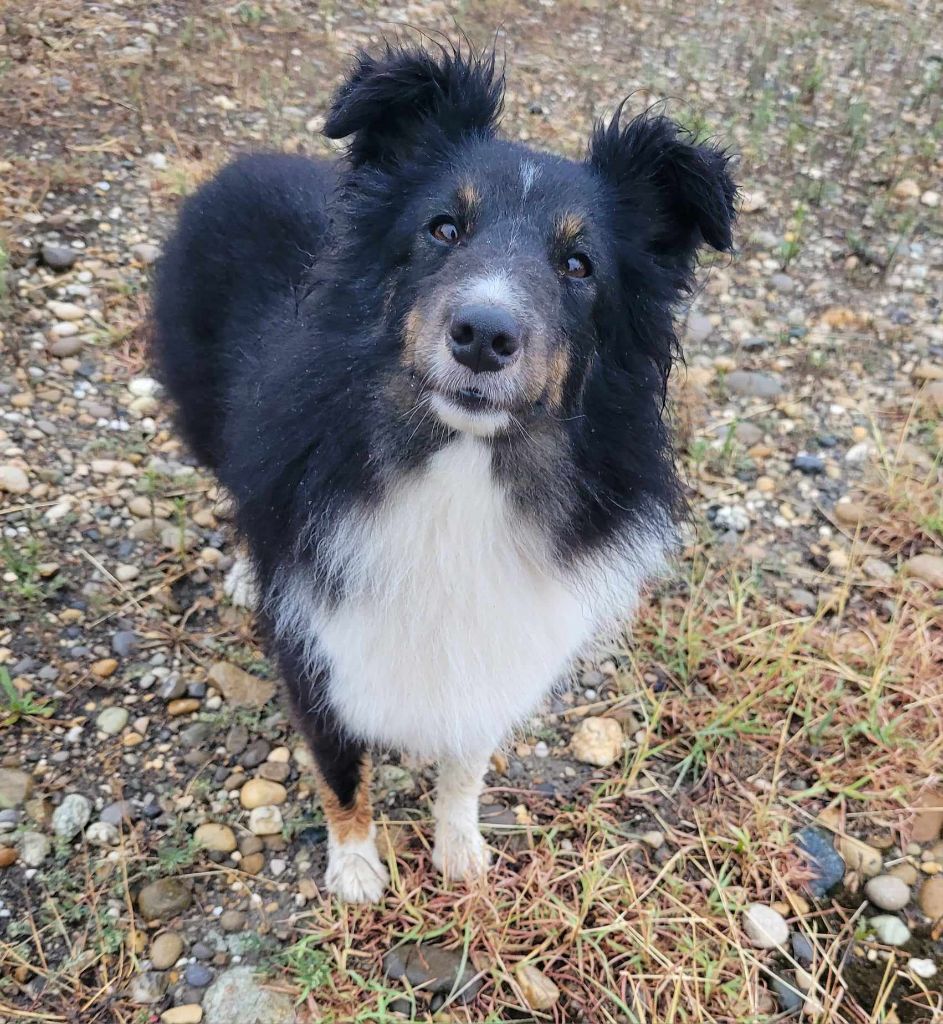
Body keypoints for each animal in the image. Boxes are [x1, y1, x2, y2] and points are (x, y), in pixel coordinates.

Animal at [152, 44, 737, 901]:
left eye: (578, 265)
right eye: (442, 228)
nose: (483, 335)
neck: (459, 464)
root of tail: (242, 164)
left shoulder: (499, 637)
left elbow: (466, 759)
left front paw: (460, 850)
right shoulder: (319, 642)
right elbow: (340, 767)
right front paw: (355, 869)